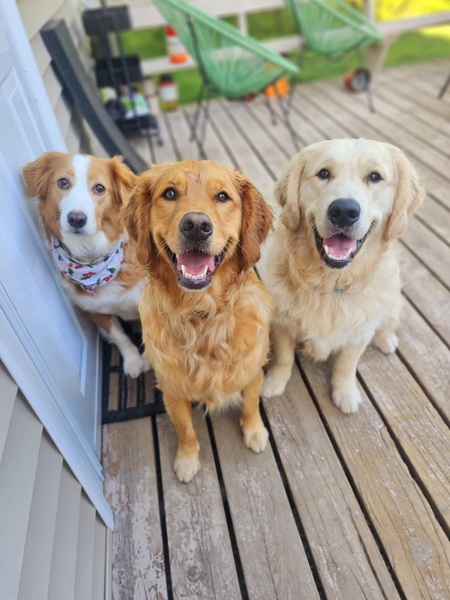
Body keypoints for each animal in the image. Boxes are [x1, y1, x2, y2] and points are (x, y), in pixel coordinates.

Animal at [22, 152, 150, 378]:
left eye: (99, 188)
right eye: (63, 182)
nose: (76, 219)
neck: (93, 260)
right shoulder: (95, 312)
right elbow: (119, 337)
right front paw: (133, 361)